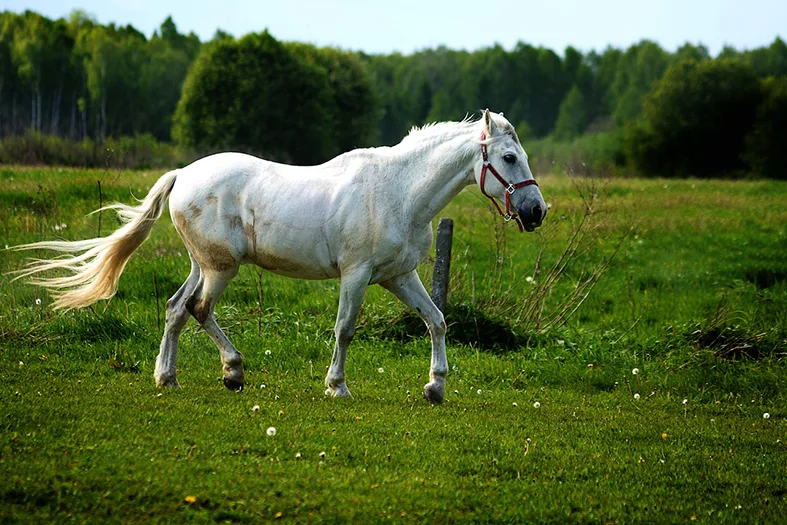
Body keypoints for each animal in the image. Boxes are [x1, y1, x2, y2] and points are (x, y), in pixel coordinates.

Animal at [13, 108, 540, 400]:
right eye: (509, 157)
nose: (537, 212)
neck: (398, 191)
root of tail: (183, 174)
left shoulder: (400, 276)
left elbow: (437, 321)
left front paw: (435, 387)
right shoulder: (356, 275)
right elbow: (345, 330)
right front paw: (337, 386)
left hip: (203, 264)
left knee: (176, 308)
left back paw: (169, 377)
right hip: (221, 268)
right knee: (198, 308)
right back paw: (232, 372)